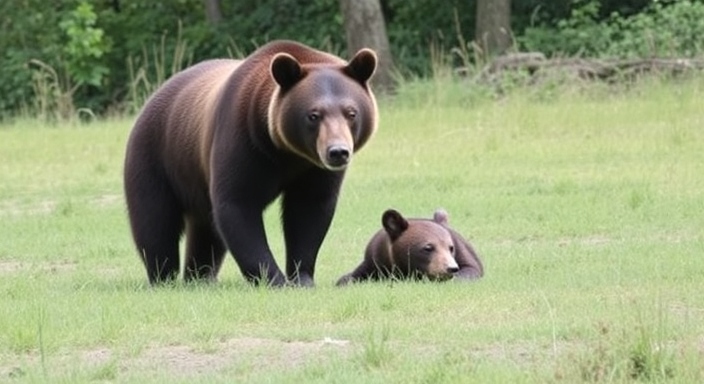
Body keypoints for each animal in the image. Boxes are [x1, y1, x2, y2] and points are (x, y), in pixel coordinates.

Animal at [126, 41, 380, 288]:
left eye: (351, 113)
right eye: (313, 115)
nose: (337, 152)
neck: (286, 151)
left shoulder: (313, 169)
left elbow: (309, 210)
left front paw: (302, 277)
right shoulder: (244, 142)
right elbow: (237, 205)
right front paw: (275, 279)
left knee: (204, 230)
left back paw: (199, 277)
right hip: (155, 157)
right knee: (155, 222)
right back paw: (163, 277)